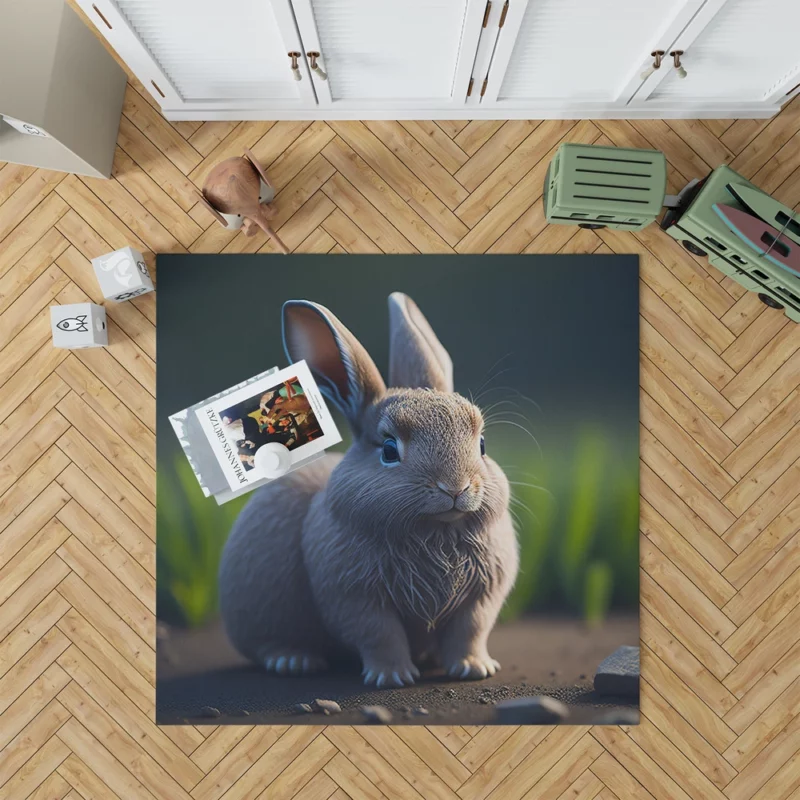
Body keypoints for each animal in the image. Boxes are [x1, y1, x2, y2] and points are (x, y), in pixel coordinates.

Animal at [219, 294, 520, 688]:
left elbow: (470, 631)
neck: (434, 530)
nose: (456, 486)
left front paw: (474, 669)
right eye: (389, 450)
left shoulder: (482, 597)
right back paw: (293, 661)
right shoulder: (354, 598)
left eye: (482, 445)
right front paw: (392, 677)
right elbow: (379, 635)